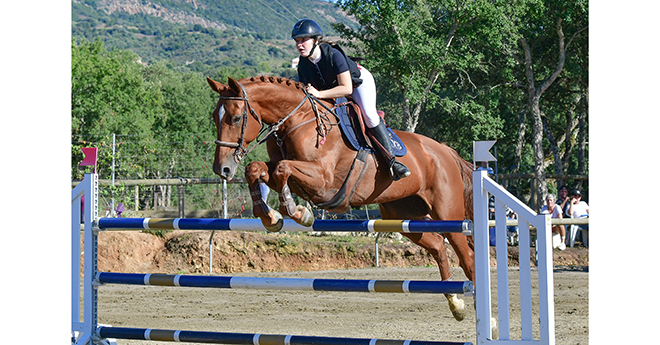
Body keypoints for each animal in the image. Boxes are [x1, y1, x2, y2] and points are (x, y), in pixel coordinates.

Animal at [206, 74, 474, 320]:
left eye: (236, 118)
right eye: (215, 117)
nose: (222, 169)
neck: (298, 120)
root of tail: (445, 150)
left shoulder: (323, 182)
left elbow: (282, 168)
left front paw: (297, 212)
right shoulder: (291, 175)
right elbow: (256, 169)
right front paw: (269, 217)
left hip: (448, 214)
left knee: (466, 255)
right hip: (404, 214)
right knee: (438, 245)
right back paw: (456, 304)